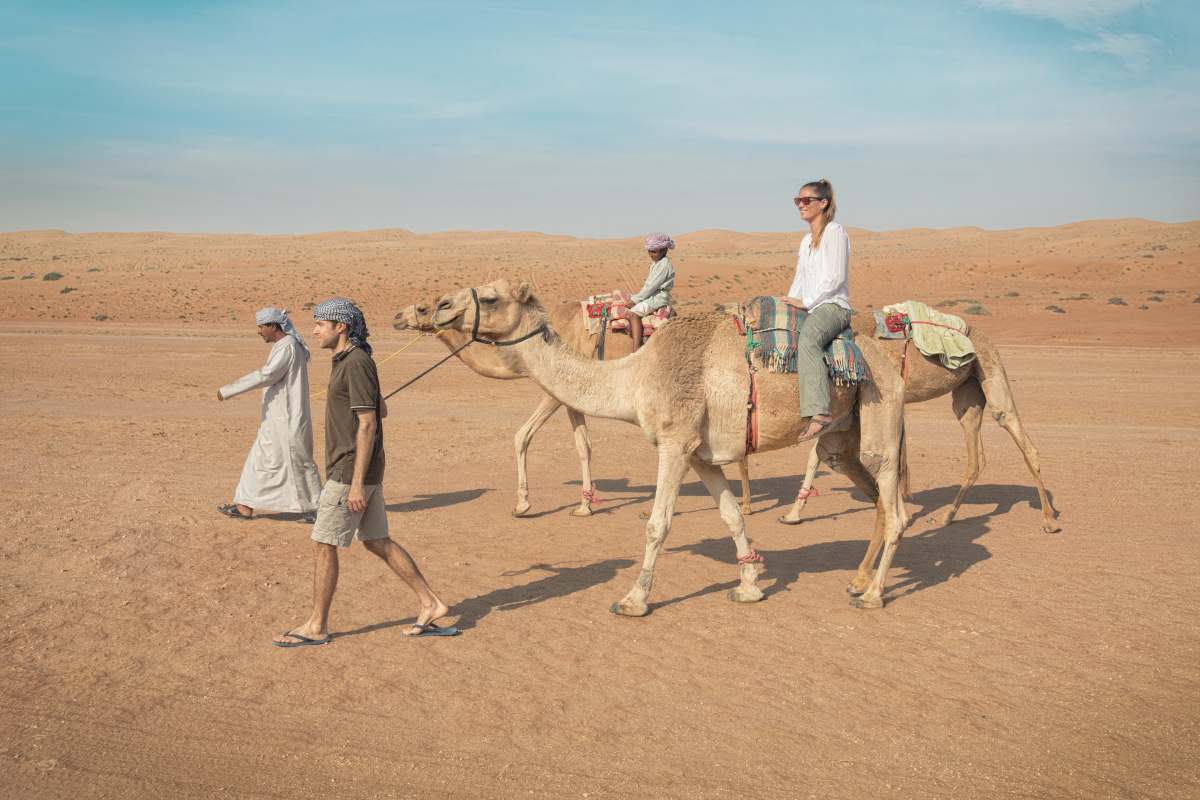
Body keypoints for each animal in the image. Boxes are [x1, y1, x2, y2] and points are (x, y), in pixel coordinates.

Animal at [398, 297, 763, 515]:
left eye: (424, 307)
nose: (397, 317)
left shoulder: (554, 392)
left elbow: (522, 436)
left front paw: (523, 504)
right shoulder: (572, 396)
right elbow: (583, 446)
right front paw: (586, 504)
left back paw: (747, 505)